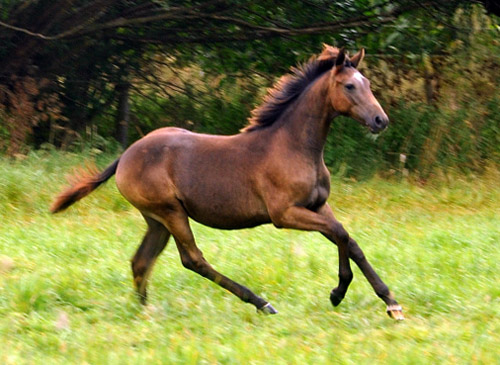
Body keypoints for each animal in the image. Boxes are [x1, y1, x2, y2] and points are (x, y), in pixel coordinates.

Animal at [51, 44, 402, 318]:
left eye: (368, 82)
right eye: (349, 86)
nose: (381, 120)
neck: (294, 146)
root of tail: (125, 156)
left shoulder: (318, 206)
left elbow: (350, 241)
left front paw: (390, 302)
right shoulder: (284, 214)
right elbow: (341, 233)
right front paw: (338, 292)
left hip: (156, 220)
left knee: (141, 261)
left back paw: (145, 312)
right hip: (170, 212)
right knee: (193, 259)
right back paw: (261, 303)